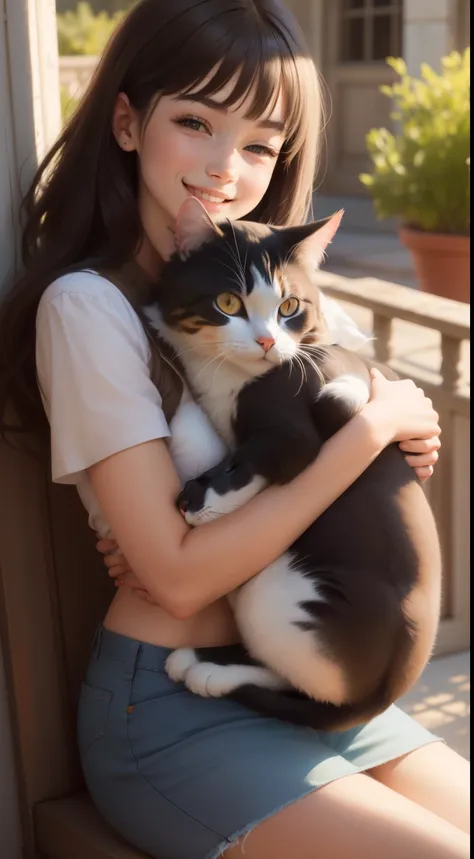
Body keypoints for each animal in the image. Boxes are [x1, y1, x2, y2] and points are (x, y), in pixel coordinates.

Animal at [150, 197, 442, 732]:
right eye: (228, 303)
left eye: (289, 307)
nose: (267, 343)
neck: (230, 375)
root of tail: (380, 697)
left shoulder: (309, 415)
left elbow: (275, 455)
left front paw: (201, 501)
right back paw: (204, 665)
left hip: (272, 594)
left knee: (306, 686)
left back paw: (209, 671)